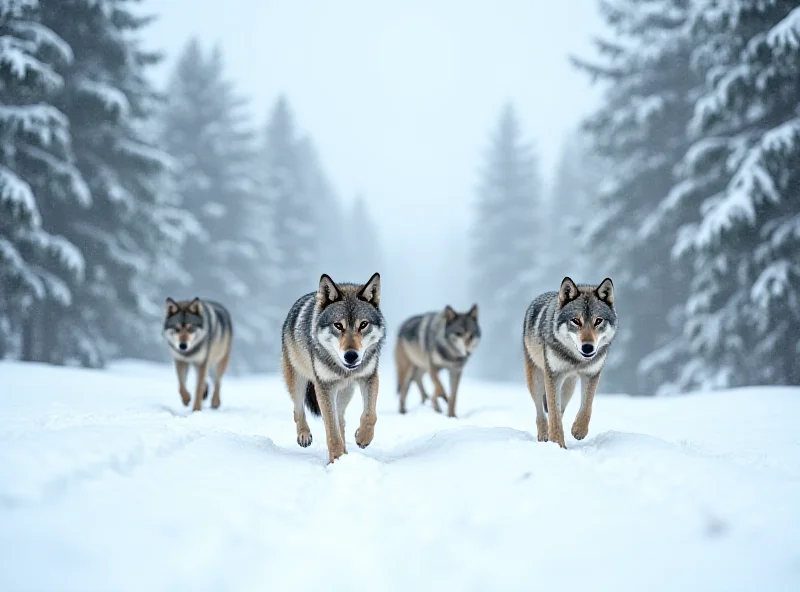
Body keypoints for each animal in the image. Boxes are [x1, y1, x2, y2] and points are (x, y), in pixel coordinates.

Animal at [280, 274, 386, 468]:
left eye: (363, 324)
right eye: (338, 325)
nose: (351, 356)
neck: (344, 370)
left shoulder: (369, 377)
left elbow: (370, 415)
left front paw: (362, 438)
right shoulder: (324, 386)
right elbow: (332, 432)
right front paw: (336, 460)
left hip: (345, 393)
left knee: (341, 421)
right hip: (298, 381)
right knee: (298, 410)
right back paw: (304, 436)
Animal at [520, 278, 616, 448]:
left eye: (598, 321)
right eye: (576, 321)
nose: (588, 347)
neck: (576, 360)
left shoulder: (592, 374)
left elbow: (587, 406)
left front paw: (579, 430)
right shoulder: (553, 375)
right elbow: (553, 414)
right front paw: (558, 444)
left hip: (568, 389)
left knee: (560, 410)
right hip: (536, 381)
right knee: (541, 412)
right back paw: (544, 436)